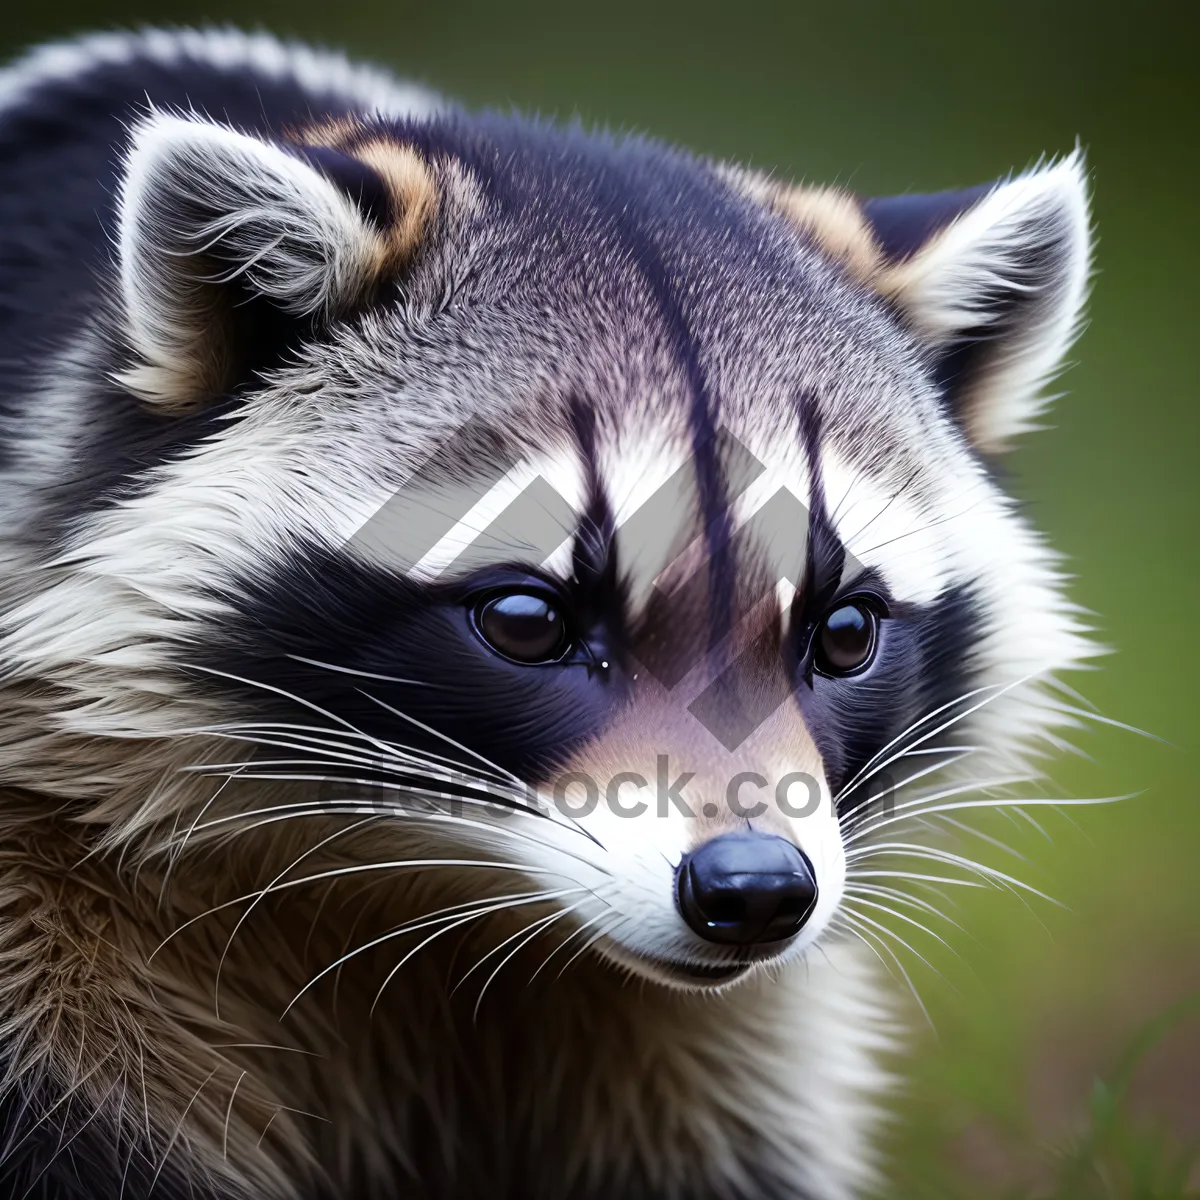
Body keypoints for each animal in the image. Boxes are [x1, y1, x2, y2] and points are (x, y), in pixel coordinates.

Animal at [0, 25, 1094, 1200]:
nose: (756, 890)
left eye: (844, 632)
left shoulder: (721, 1040)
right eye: (530, 622)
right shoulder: (50, 909)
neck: (440, 888)